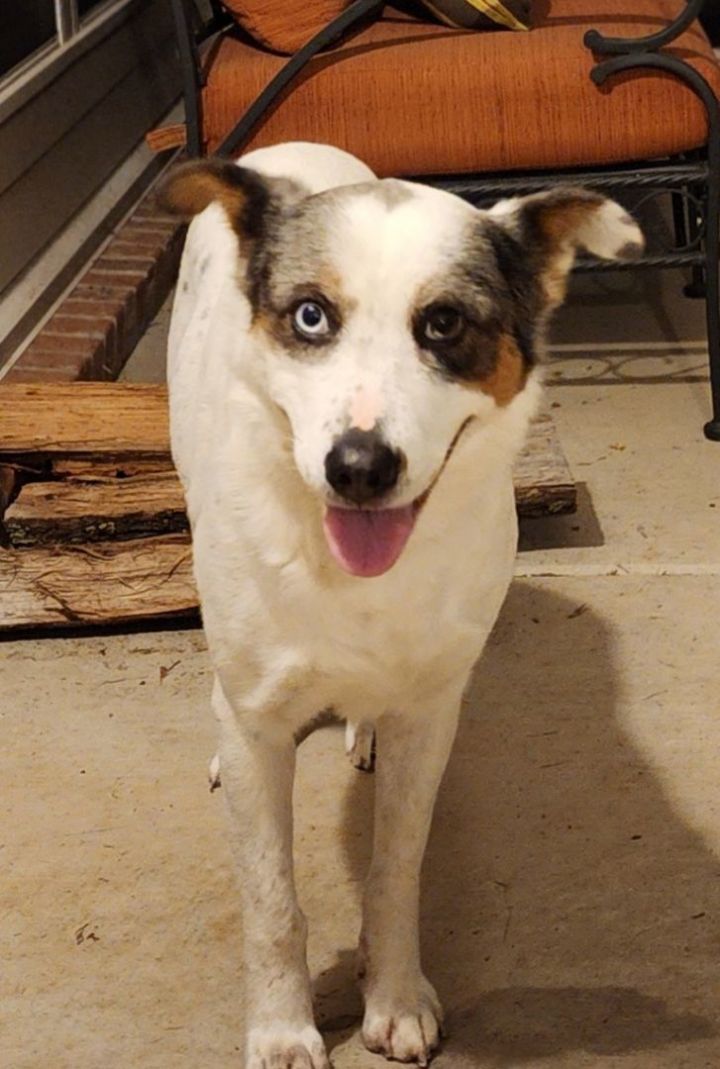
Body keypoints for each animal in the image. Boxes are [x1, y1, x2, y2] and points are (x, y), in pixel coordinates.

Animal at [160, 144, 640, 1069]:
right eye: (311, 316)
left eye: (444, 323)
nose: (358, 467)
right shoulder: (259, 722)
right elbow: (271, 900)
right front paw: (283, 1027)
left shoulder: (431, 713)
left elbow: (396, 872)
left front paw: (394, 996)